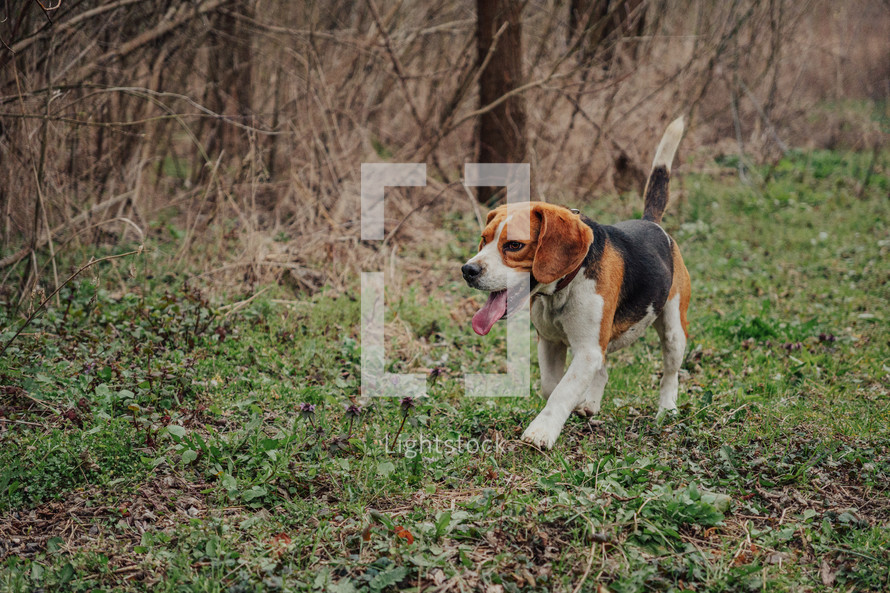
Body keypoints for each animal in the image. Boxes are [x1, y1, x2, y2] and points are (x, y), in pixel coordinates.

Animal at [462, 118, 692, 446]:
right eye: (483, 239)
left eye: (514, 245)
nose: (467, 270)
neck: (562, 287)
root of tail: (651, 223)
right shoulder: (551, 342)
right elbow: (552, 386)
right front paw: (573, 406)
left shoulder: (587, 349)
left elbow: (561, 391)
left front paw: (541, 432)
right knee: (603, 372)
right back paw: (590, 403)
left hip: (674, 328)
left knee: (670, 373)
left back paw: (667, 410)